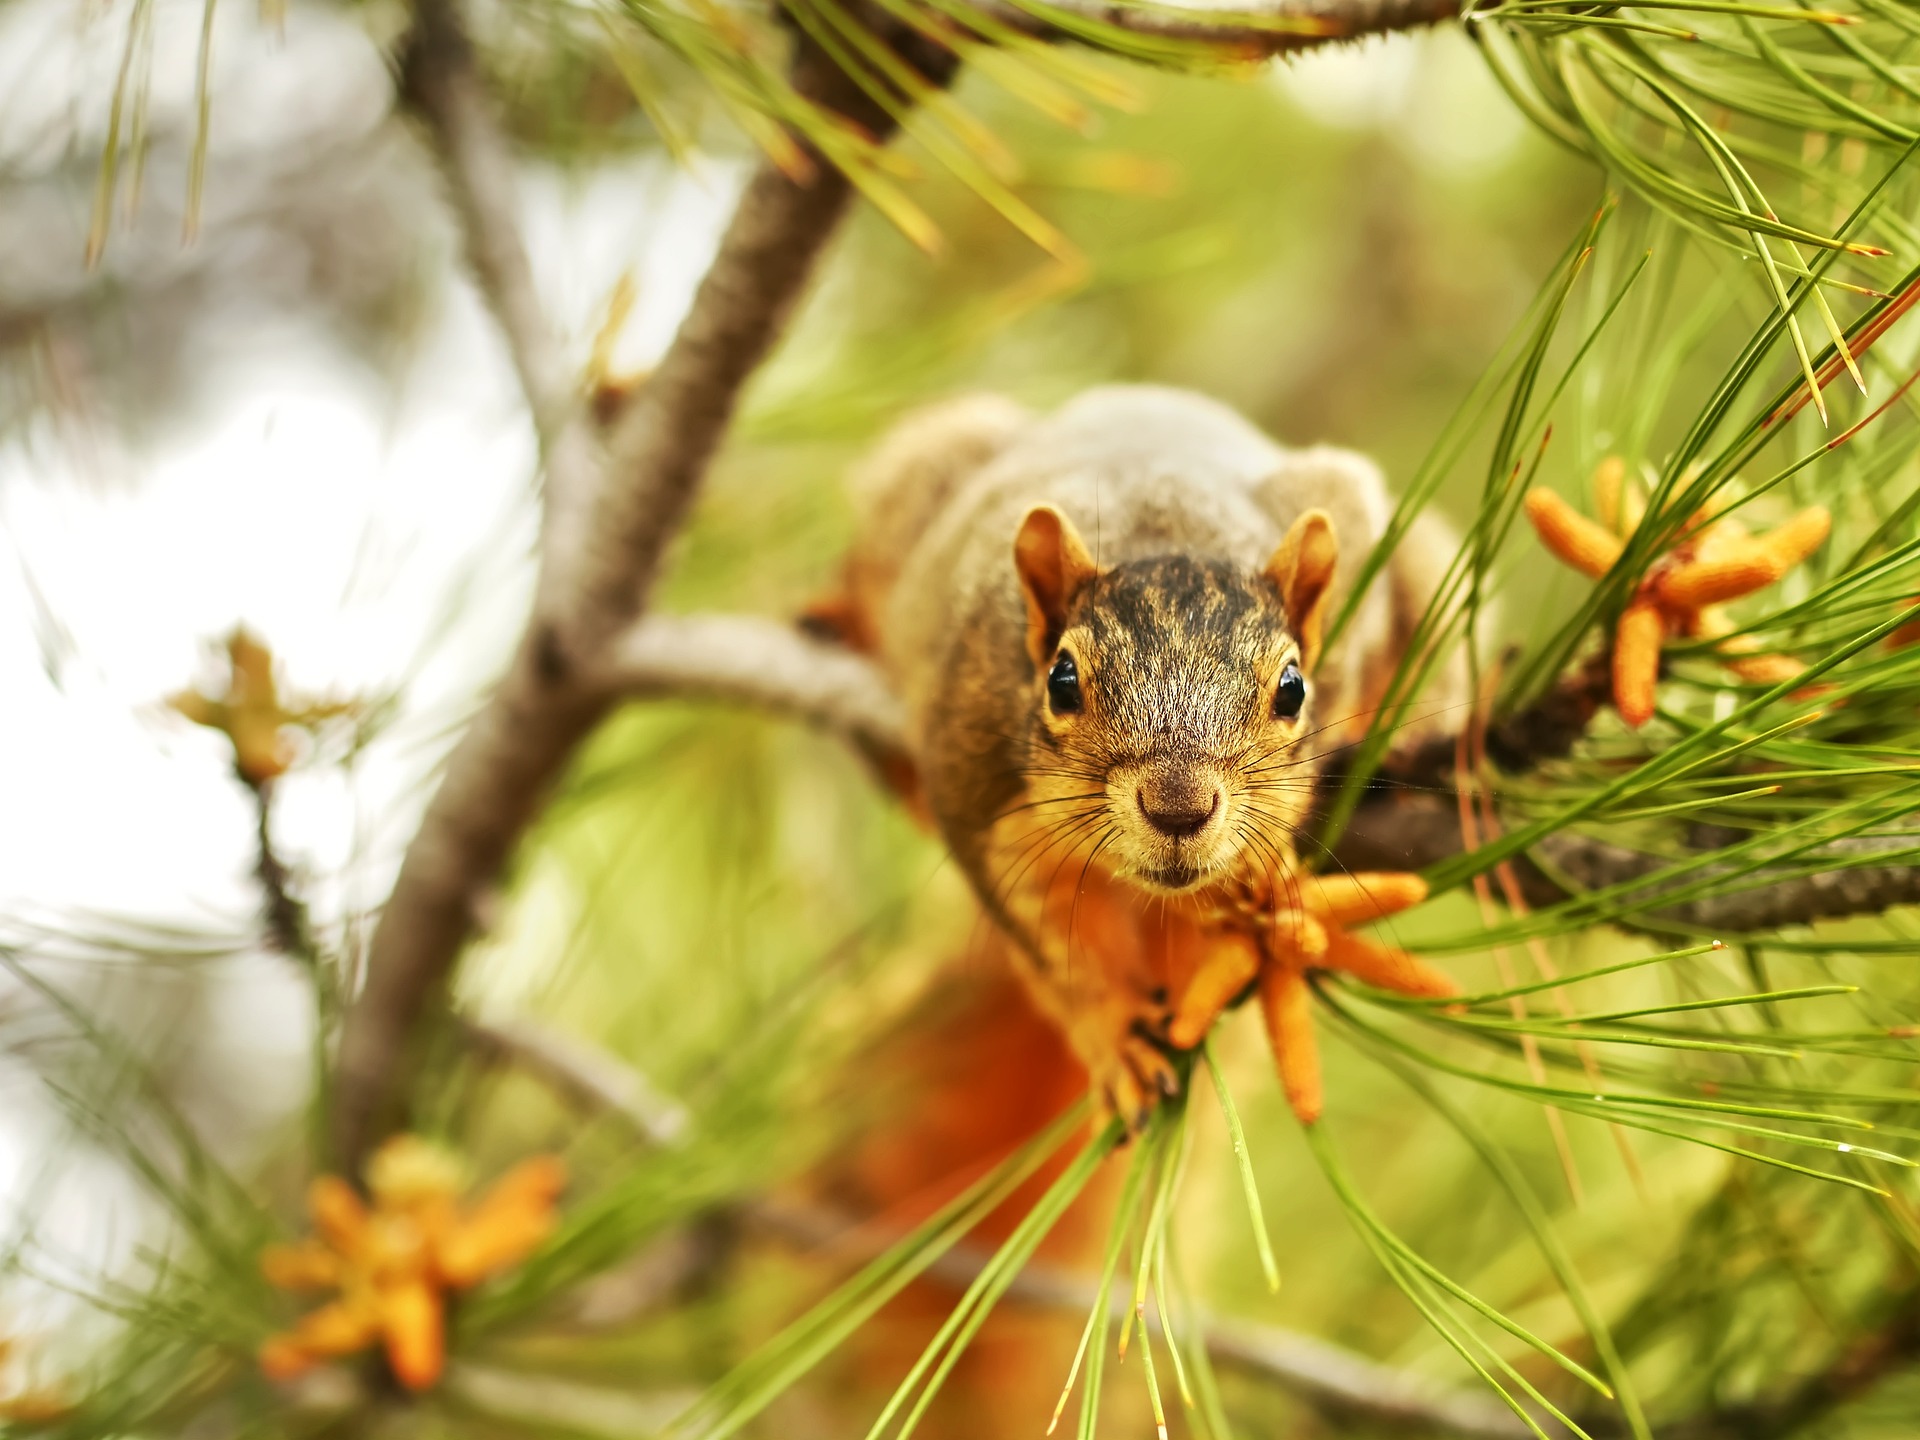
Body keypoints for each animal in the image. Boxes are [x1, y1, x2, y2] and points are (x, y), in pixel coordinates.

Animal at [813, 384, 1469, 1127]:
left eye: (1294, 688)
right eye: (1061, 680)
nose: (1178, 809)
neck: (1165, 530)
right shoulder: (971, 770)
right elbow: (1049, 945)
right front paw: (1113, 1035)